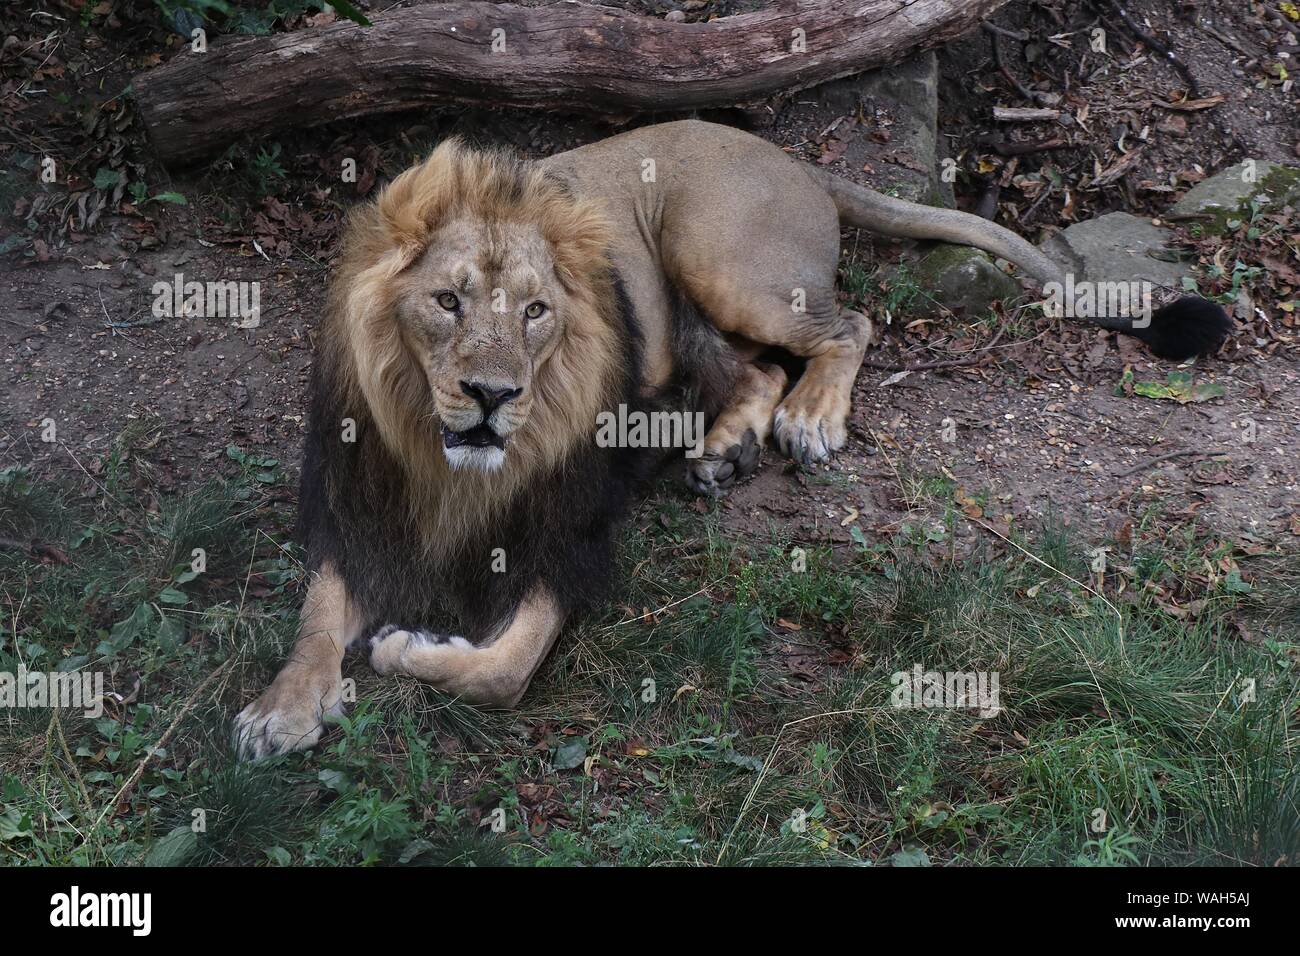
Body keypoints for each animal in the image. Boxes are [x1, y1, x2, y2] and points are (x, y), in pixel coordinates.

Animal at [236, 121, 1227, 764]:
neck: (449, 464)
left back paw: (810, 419)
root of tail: (792, 155)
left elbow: (502, 670)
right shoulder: (359, 512)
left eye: (536, 312)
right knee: (755, 372)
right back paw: (722, 448)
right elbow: (316, 621)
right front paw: (278, 711)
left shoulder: (572, 537)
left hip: (714, 252)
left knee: (848, 326)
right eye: (446, 302)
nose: (491, 397)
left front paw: (404, 648)